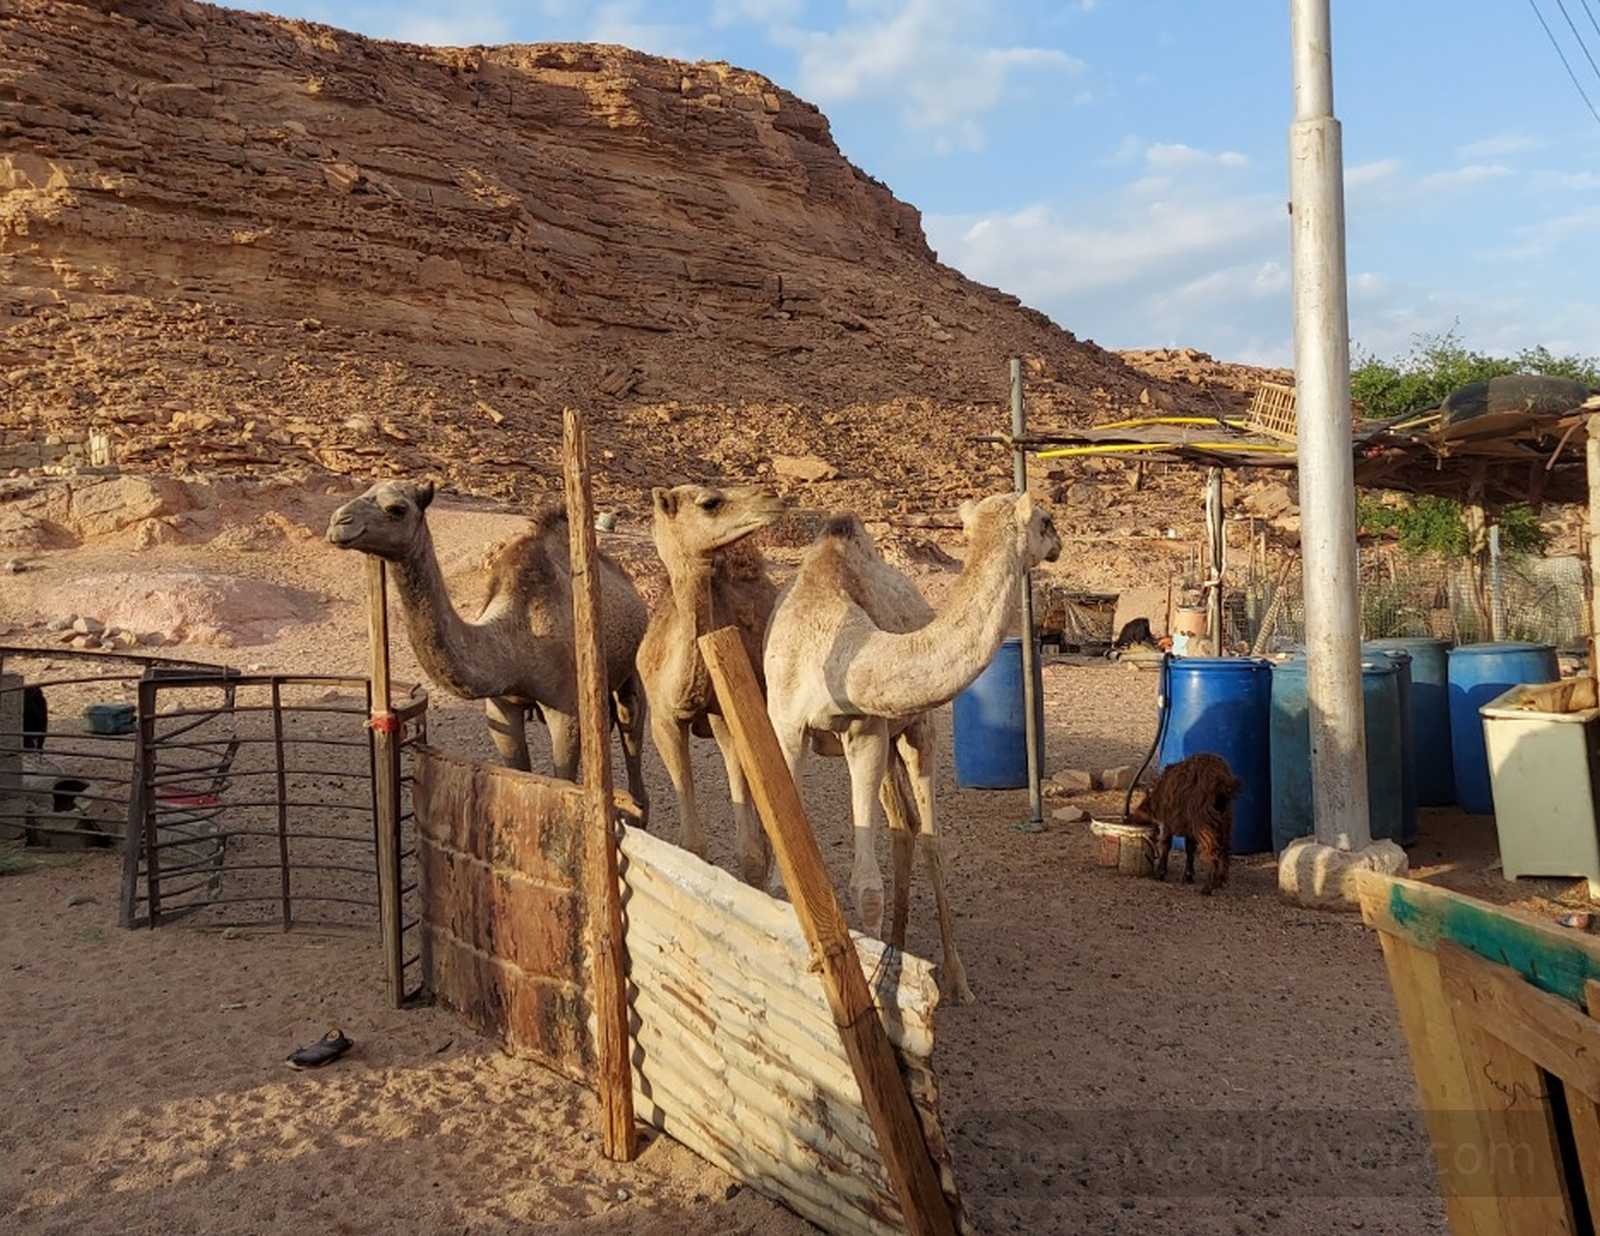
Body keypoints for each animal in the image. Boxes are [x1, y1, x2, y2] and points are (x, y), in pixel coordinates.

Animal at [326, 479, 650, 819]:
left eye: (397, 509)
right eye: (363, 493)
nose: (338, 522)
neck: (514, 642)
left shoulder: (566, 708)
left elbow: (564, 779)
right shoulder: (501, 705)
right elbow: (520, 773)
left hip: (631, 668)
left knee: (631, 726)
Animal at [636, 483, 784, 885]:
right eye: (710, 503)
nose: (771, 496)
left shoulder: (725, 717)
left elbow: (750, 852)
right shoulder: (662, 722)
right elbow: (691, 845)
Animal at [763, 492, 1062, 1003]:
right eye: (1046, 520)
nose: (1059, 542)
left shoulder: (866, 731)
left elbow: (867, 885)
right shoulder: (786, 729)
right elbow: (790, 874)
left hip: (914, 730)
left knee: (926, 835)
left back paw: (952, 977)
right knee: (904, 825)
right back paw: (897, 950)